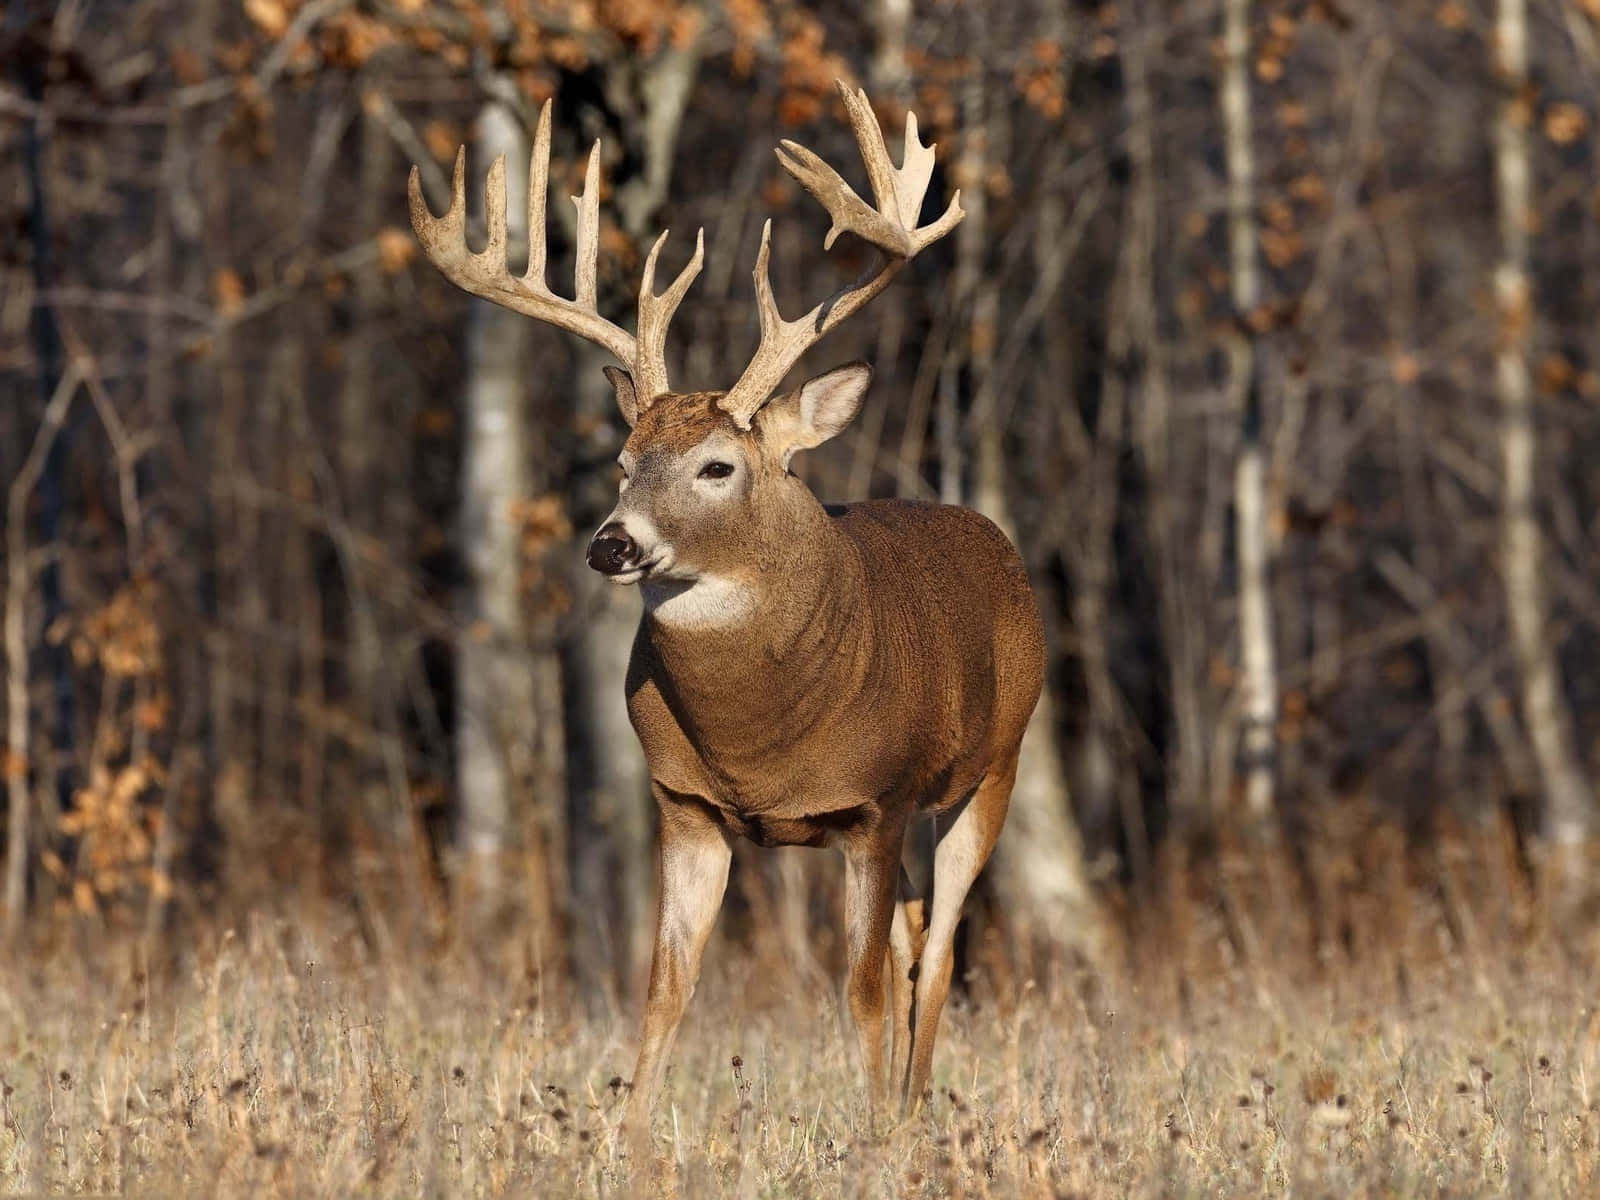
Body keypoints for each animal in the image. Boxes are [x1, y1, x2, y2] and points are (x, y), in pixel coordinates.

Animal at [409, 81, 1046, 1127]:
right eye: (624, 460)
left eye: (718, 466)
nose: (612, 543)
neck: (761, 741)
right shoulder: (685, 803)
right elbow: (667, 987)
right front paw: (627, 1138)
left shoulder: (877, 801)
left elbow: (859, 989)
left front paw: (872, 1135)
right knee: (916, 937)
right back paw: (905, 1104)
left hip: (992, 769)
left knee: (942, 950)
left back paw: (910, 1111)